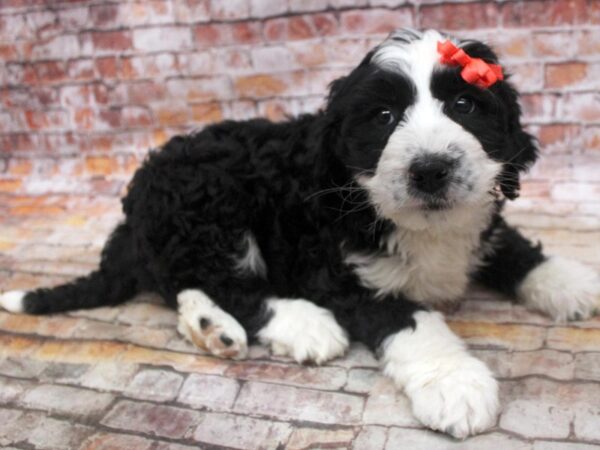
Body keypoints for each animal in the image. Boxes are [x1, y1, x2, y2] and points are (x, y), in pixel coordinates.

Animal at [3, 29, 600, 440]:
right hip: (209, 207)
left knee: (182, 285)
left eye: (464, 105)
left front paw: (574, 282)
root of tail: (134, 217)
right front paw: (454, 382)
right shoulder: (339, 270)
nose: (430, 170)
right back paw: (300, 324)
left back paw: (211, 329)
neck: (418, 223)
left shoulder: (481, 223)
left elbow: (517, 251)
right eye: (383, 116)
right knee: (221, 283)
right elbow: (413, 320)